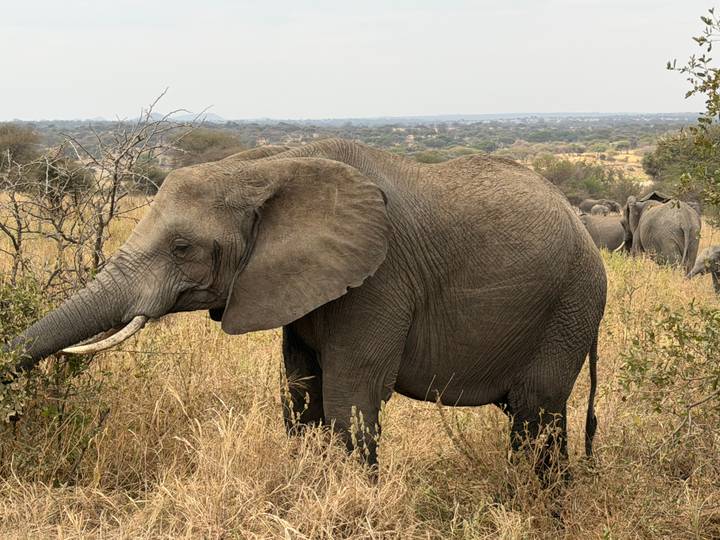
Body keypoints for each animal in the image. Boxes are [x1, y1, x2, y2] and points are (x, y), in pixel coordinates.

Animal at [4, 139, 607, 473]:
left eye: (182, 248)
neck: (266, 166)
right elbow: (299, 397)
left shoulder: (380, 279)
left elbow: (350, 402)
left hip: (571, 305)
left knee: (536, 417)